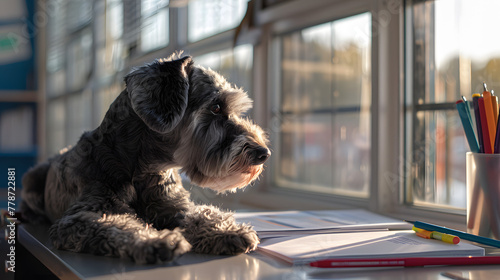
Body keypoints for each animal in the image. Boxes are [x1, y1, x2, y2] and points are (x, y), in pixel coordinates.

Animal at [20, 53, 270, 264]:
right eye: (216, 107)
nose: (264, 153)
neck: (142, 170)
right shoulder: (78, 219)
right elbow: (117, 226)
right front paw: (155, 240)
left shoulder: (173, 208)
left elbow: (200, 214)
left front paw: (225, 230)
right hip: (32, 179)